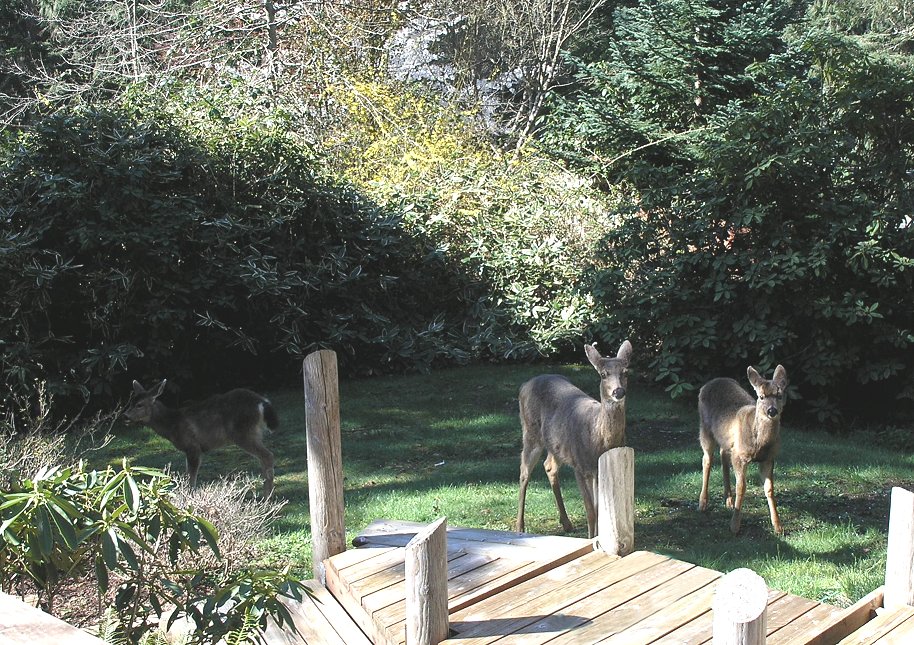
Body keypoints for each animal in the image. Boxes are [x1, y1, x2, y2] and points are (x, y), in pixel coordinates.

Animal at [124, 380, 278, 497]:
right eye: (130, 402)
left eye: (139, 405)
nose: (125, 416)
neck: (172, 424)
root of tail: (262, 402)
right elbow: (188, 474)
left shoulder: (193, 446)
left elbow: (191, 477)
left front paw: (189, 499)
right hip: (252, 433)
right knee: (264, 457)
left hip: (243, 433)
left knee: (268, 455)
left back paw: (266, 498)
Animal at [516, 340, 633, 539]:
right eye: (603, 374)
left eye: (625, 372)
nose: (619, 391)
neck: (597, 439)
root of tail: (525, 384)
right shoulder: (580, 465)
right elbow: (591, 510)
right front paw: (592, 539)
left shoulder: (598, 469)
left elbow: (599, 509)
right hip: (531, 432)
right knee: (524, 471)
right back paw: (519, 527)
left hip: (556, 444)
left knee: (549, 465)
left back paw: (566, 523)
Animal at [698, 365, 788, 535]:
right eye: (761, 396)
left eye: (779, 396)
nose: (772, 411)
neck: (759, 444)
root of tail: (712, 382)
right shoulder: (740, 456)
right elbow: (742, 487)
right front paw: (734, 526)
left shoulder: (769, 458)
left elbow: (770, 489)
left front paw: (778, 526)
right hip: (705, 428)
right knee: (707, 459)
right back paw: (702, 503)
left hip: (727, 440)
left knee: (722, 455)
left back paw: (728, 500)